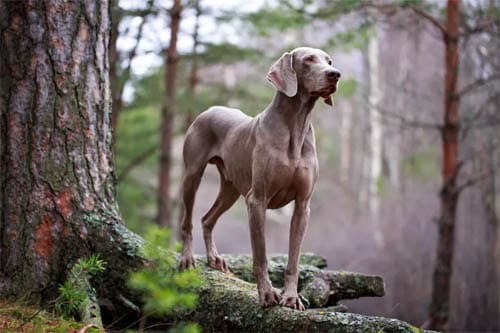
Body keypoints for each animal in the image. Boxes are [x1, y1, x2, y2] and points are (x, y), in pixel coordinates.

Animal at [179, 46, 340, 308]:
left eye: (329, 61)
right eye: (308, 59)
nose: (335, 74)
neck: (295, 126)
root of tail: (210, 109)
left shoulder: (302, 206)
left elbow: (294, 259)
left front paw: (291, 297)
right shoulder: (257, 201)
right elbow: (261, 256)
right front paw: (267, 294)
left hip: (231, 189)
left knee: (207, 219)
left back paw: (214, 259)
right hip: (192, 175)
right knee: (188, 221)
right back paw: (186, 259)